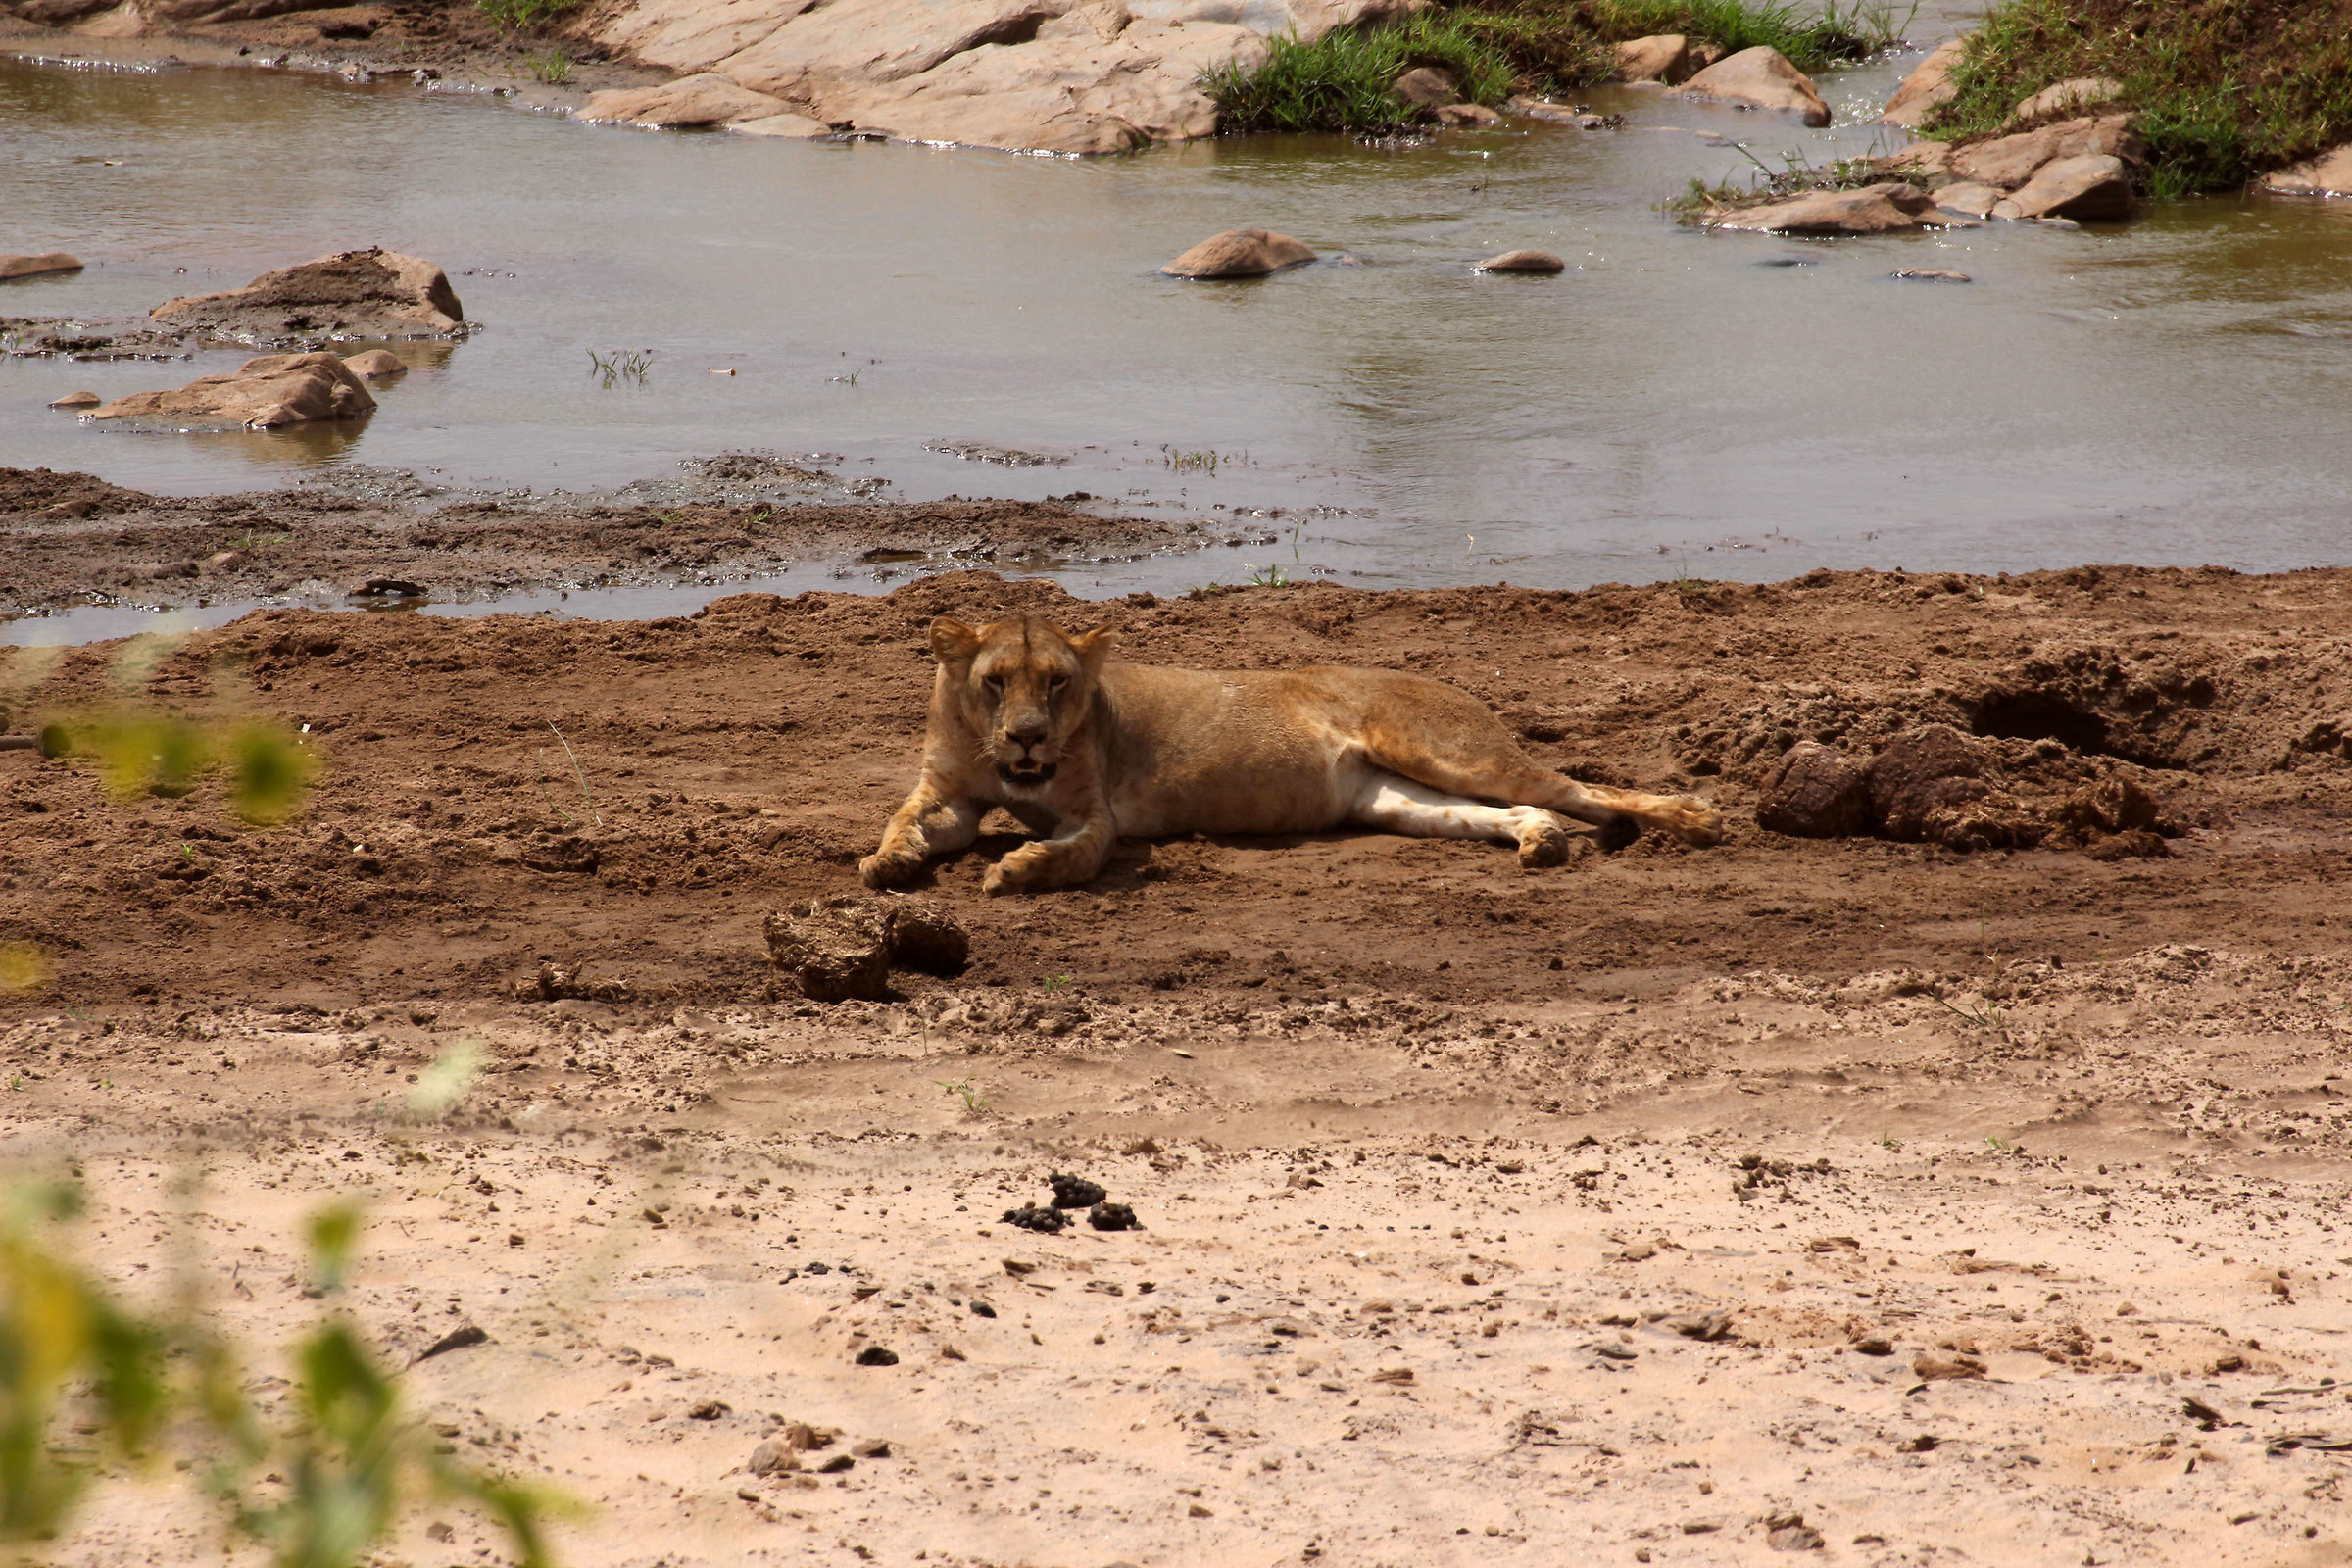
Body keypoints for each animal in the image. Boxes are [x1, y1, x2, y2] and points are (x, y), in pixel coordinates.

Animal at [858, 613, 1723, 896]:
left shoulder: (1095, 816)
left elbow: (1069, 853)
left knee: (1577, 788)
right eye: (995, 683)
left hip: (1444, 748)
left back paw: (1695, 818)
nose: (1030, 734)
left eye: (1058, 684)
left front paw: (1016, 871)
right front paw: (888, 863)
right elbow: (906, 821)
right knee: (1522, 810)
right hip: (1397, 799)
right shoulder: (948, 790)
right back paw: (1540, 843)